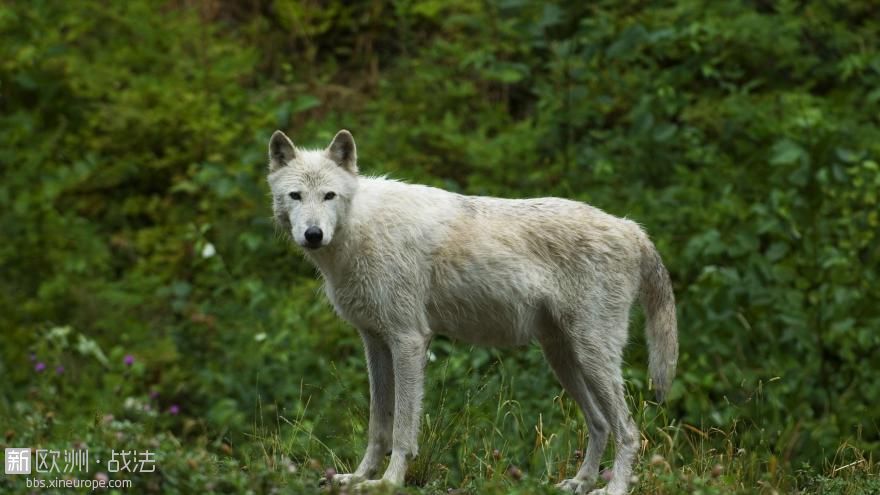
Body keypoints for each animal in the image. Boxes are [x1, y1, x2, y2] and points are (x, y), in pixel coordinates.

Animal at [264, 130, 676, 494]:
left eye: (329, 195)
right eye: (295, 196)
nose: (313, 234)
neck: (359, 232)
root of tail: (632, 228)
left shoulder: (408, 340)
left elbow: (402, 430)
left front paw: (388, 482)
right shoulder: (375, 343)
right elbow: (377, 426)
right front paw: (357, 477)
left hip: (592, 356)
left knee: (628, 430)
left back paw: (614, 489)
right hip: (564, 358)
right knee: (600, 423)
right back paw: (579, 483)